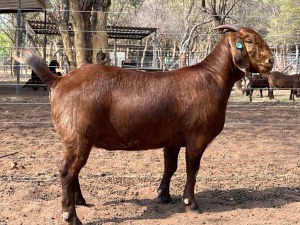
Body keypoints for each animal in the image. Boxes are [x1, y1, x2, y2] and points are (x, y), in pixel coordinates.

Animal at [12, 24, 274, 225]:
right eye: (249, 40)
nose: (271, 61)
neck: (212, 77)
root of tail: (59, 81)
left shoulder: (173, 138)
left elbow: (170, 166)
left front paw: (164, 196)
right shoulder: (197, 136)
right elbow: (192, 168)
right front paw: (191, 204)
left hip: (74, 138)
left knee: (72, 170)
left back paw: (80, 202)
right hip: (79, 135)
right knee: (67, 170)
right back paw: (71, 216)